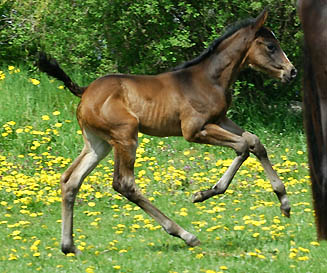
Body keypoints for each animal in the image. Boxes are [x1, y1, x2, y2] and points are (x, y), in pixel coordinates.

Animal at [38, 10, 298, 253]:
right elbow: (243, 146)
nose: (292, 72)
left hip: (98, 144)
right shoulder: (194, 130)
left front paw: (284, 202)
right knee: (124, 184)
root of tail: (84, 92)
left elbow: (254, 141)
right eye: (271, 46)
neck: (209, 79)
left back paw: (68, 246)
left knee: (70, 180)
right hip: (126, 136)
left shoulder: (219, 119)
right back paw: (185, 235)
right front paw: (205, 193)